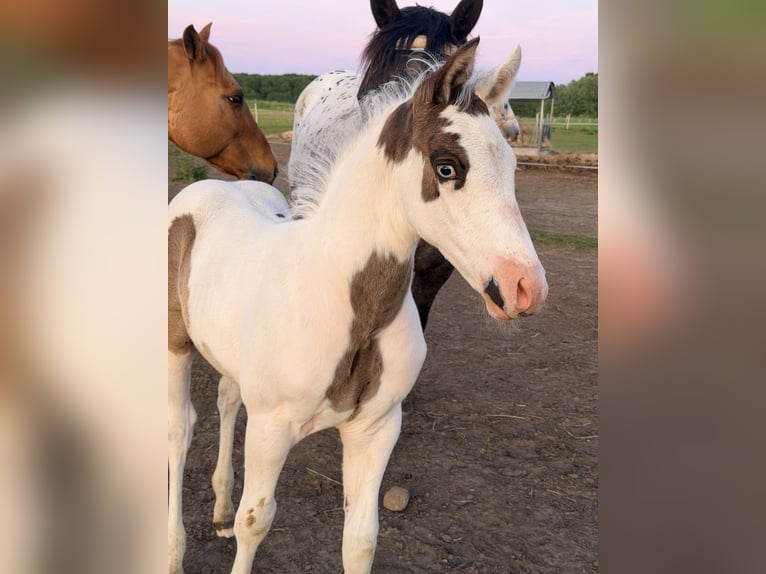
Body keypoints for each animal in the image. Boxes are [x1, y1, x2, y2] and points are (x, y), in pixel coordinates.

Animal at [168, 40, 547, 574]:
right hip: (176, 346)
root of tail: (216, 185)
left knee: (225, 401)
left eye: (512, 165)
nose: (526, 287)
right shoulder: (270, 429)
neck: (342, 303)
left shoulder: (376, 430)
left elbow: (360, 539)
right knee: (180, 431)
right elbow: (255, 522)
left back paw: (219, 505)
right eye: (447, 167)